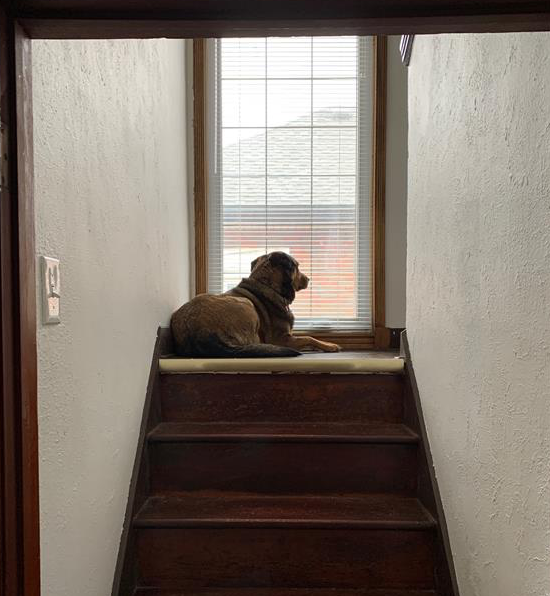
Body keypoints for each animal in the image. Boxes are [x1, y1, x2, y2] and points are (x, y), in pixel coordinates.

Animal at [170, 251, 342, 358]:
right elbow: (309, 337)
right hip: (246, 304)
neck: (267, 285)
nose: (308, 279)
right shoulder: (280, 339)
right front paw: (330, 345)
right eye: (297, 266)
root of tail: (198, 334)